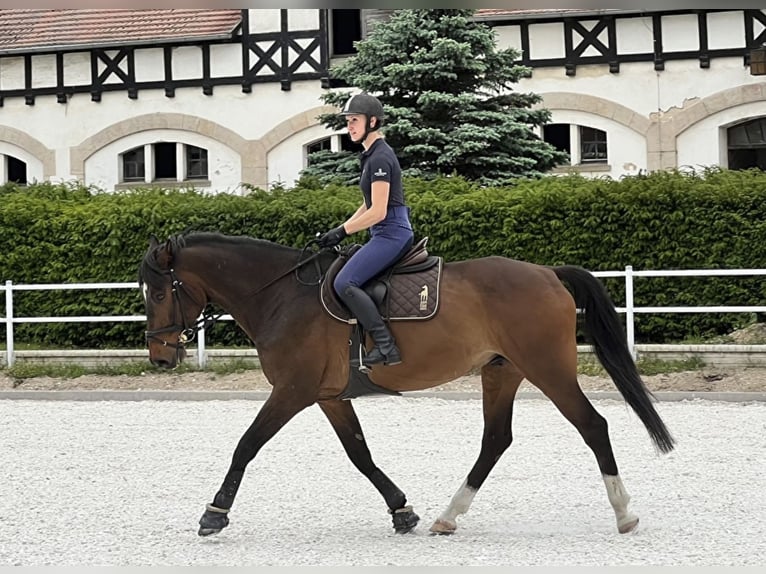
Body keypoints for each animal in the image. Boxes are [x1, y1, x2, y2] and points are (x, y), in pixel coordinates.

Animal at [138, 231, 675, 537]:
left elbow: (246, 445)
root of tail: (547, 272)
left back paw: (623, 514)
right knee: (496, 440)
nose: (161, 356)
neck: (282, 296)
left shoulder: (291, 392)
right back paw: (448, 516)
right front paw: (402, 511)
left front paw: (214, 513)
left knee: (593, 425)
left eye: (160, 292)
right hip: (502, 371)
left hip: (548, 368)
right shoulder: (328, 397)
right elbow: (360, 454)